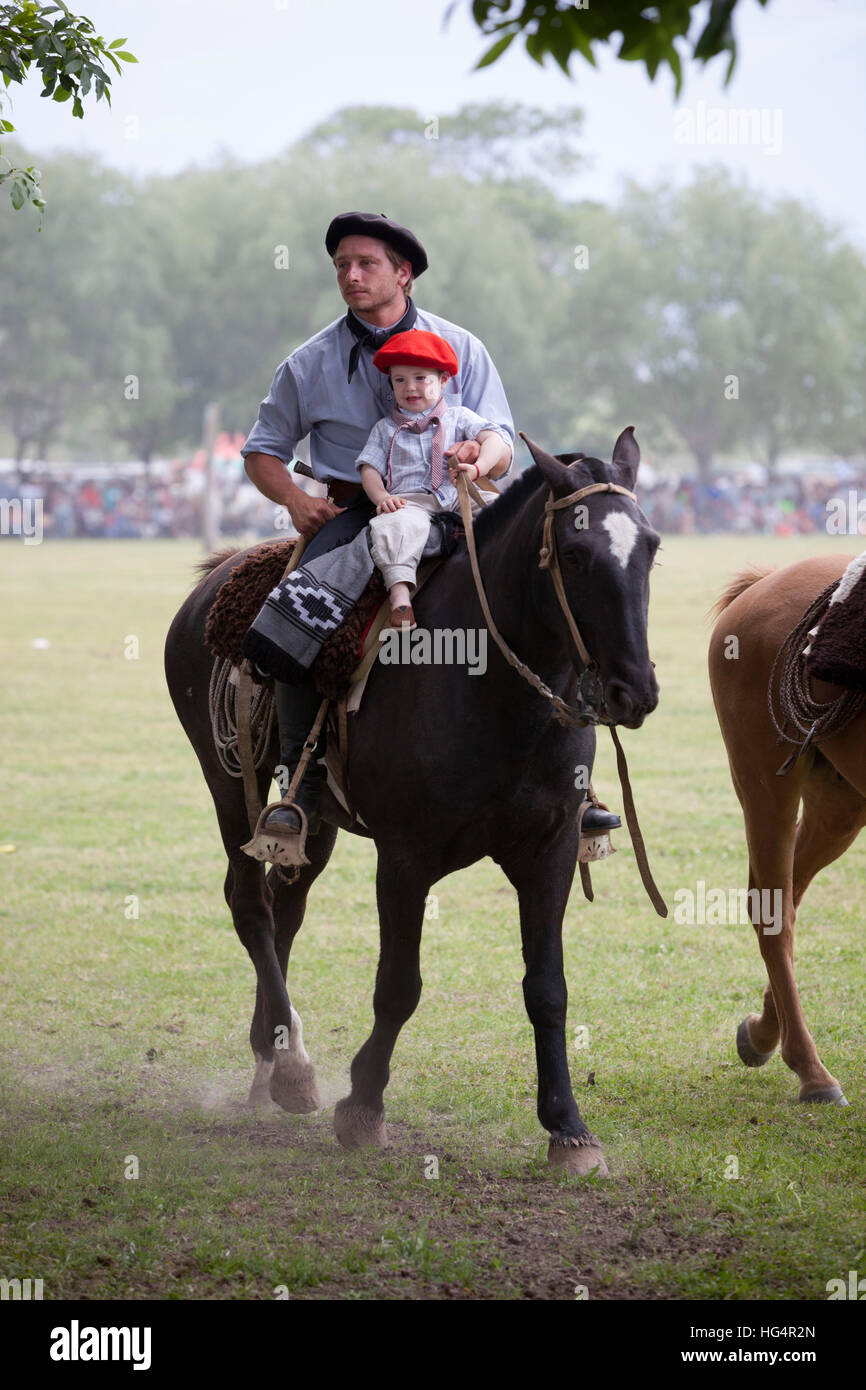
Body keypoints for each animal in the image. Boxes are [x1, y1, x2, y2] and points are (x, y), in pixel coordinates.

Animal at [166, 430, 661, 1173]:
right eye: (574, 555)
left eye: (651, 547)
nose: (635, 690)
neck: (492, 691)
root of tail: (213, 579)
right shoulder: (405, 858)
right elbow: (400, 985)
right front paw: (364, 1104)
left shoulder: (550, 850)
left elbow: (547, 988)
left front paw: (568, 1128)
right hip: (230, 790)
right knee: (251, 906)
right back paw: (294, 1068)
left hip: (314, 821)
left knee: (287, 908)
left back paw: (272, 1055)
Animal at [711, 553, 866, 1106]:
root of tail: (764, 581)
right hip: (764, 781)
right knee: (773, 907)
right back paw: (811, 1070)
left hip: (840, 798)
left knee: (788, 897)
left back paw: (763, 1033)